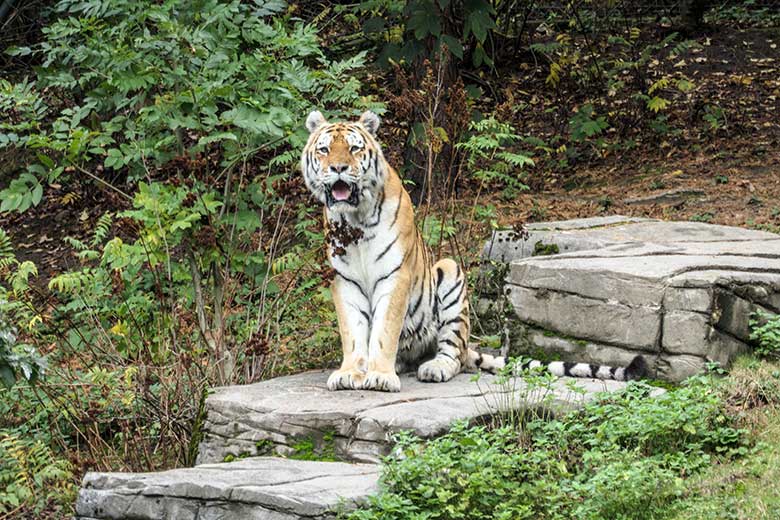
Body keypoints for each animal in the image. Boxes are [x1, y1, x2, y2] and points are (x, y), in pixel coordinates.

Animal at [298, 109, 644, 392]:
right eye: (324, 149)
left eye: (354, 148)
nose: (338, 168)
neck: (354, 219)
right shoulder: (344, 280)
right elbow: (354, 331)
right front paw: (350, 372)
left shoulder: (395, 275)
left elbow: (384, 329)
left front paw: (380, 376)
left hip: (450, 274)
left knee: (454, 353)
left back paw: (433, 367)